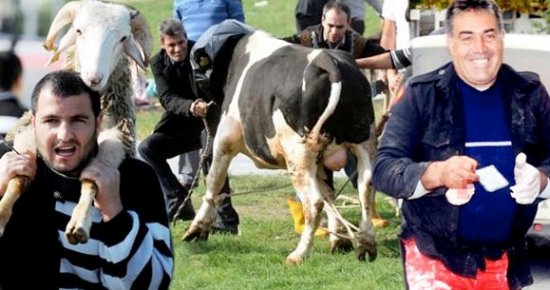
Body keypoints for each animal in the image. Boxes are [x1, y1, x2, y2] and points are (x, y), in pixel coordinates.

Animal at [0, 0, 153, 244]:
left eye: (123, 38)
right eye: (79, 31)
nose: (93, 78)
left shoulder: (117, 138)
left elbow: (91, 182)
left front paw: (80, 222)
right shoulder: (28, 134)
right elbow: (18, 178)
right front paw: (1, 213)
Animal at [184, 27, 380, 266]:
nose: (198, 105)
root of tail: (328, 61)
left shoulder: (225, 139)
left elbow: (214, 182)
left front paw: (196, 229)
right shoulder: (322, 163)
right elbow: (330, 194)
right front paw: (340, 242)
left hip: (298, 155)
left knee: (314, 203)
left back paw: (298, 254)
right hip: (363, 143)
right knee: (365, 189)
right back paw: (366, 245)